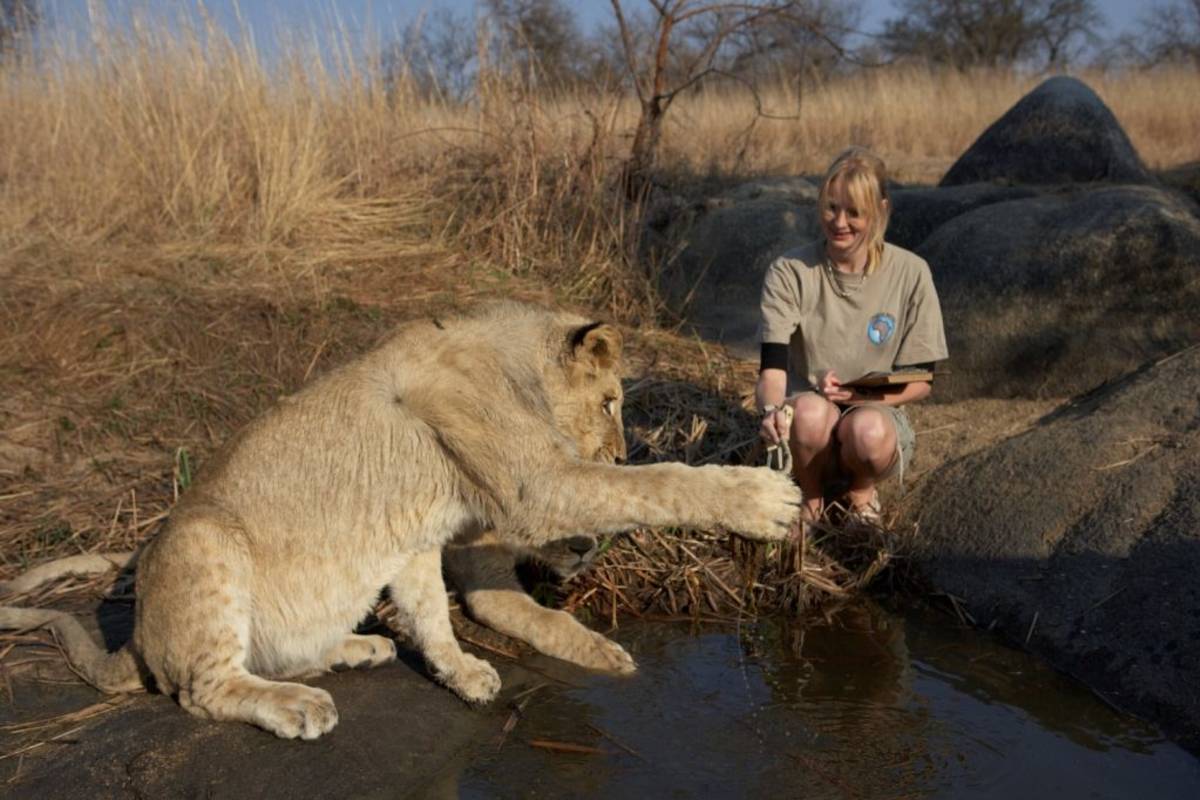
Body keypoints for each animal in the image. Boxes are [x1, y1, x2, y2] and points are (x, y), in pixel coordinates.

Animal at [0, 302, 800, 739]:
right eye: (608, 402)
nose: (617, 447)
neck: (512, 360)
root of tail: (134, 639)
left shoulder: (416, 536)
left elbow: (431, 613)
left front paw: (463, 673)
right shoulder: (533, 483)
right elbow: (655, 484)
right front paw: (763, 499)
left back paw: (361, 649)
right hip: (203, 541)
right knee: (206, 688)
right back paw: (300, 706)